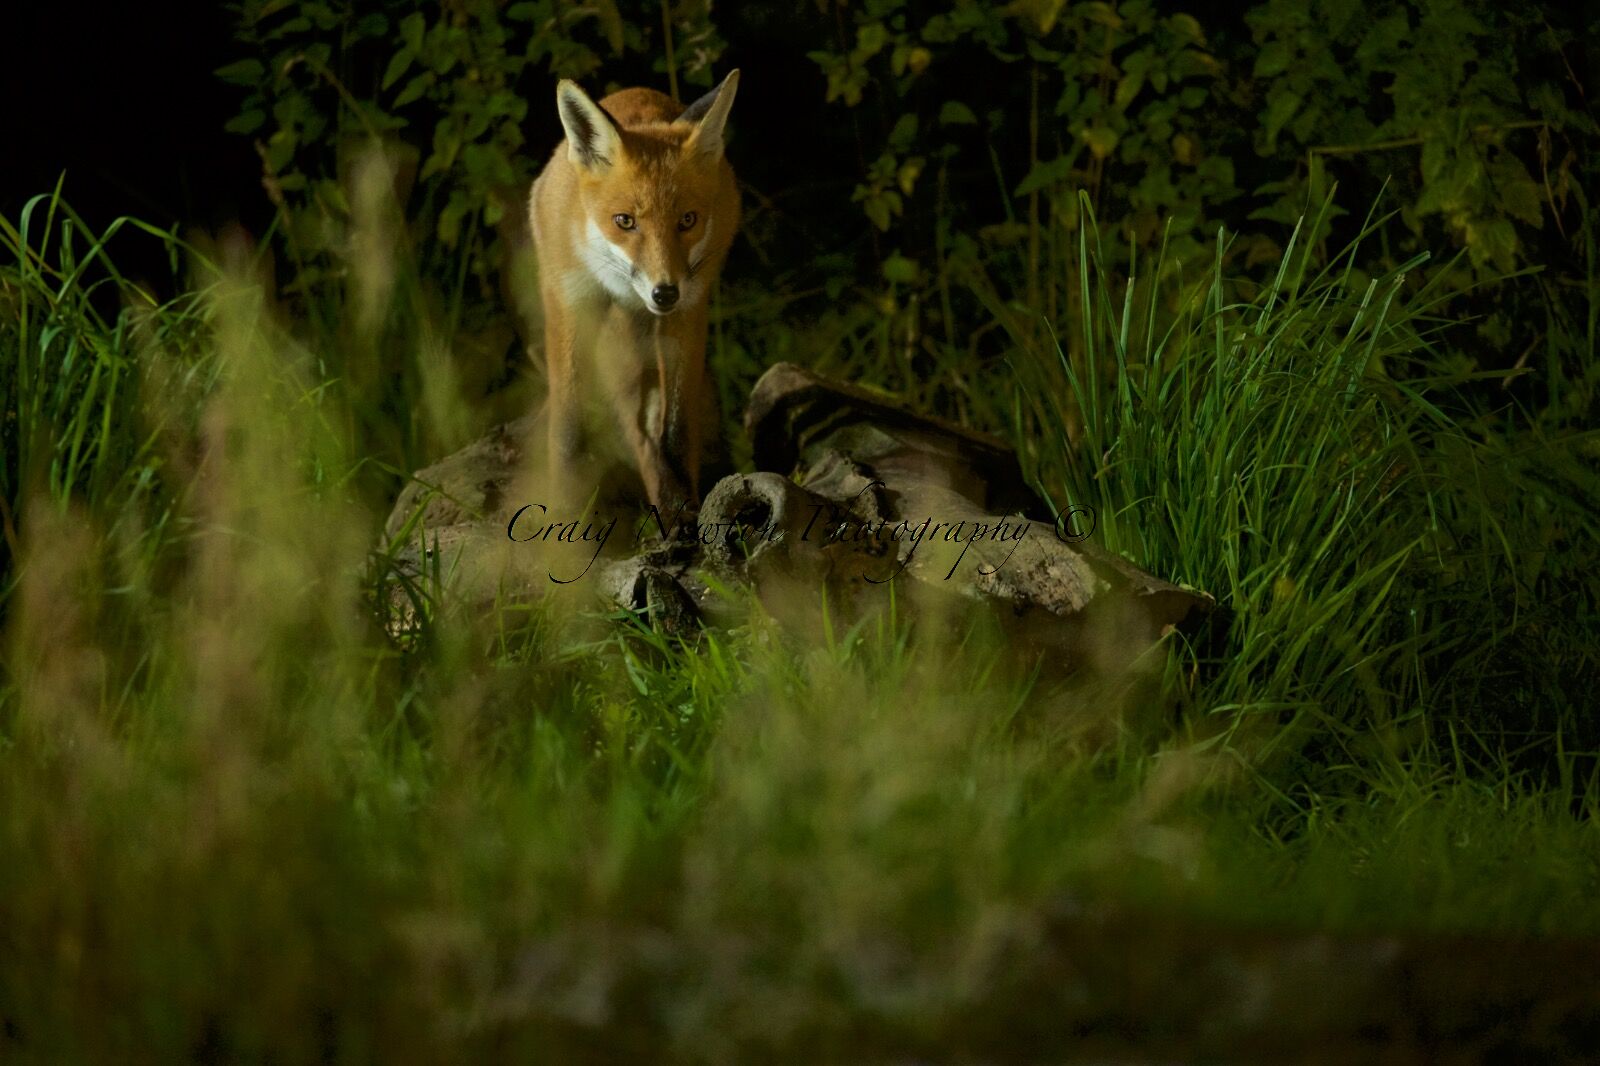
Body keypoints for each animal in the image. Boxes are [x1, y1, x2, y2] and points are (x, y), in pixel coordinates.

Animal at [527, 69, 741, 513]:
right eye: (624, 221)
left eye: (688, 220)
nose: (664, 293)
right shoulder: (570, 299)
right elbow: (568, 433)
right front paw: (565, 508)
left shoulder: (689, 312)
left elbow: (676, 434)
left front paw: (682, 512)